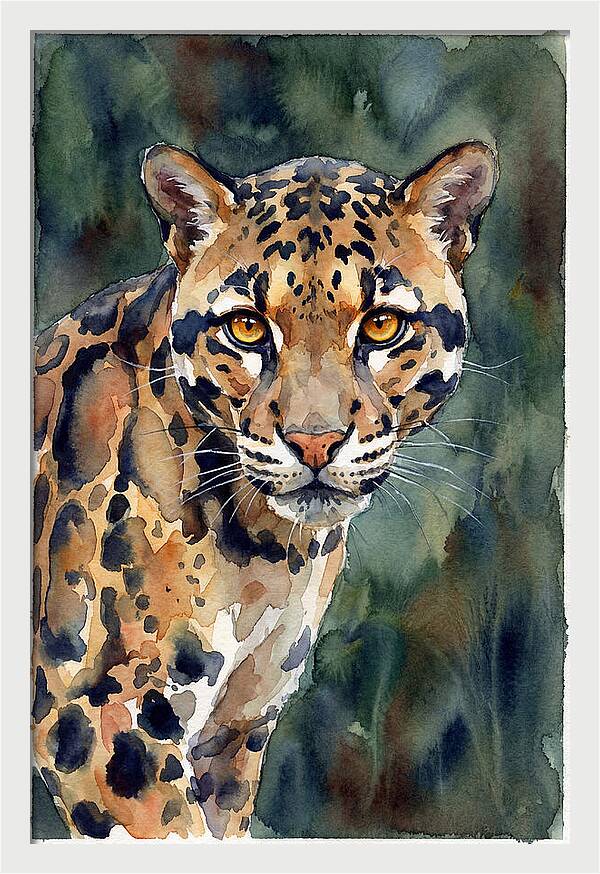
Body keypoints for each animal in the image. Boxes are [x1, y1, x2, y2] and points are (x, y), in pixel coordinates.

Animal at [32, 140, 498, 840]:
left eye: (383, 326)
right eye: (247, 328)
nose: (315, 442)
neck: (266, 552)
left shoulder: (233, 733)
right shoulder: (99, 721)